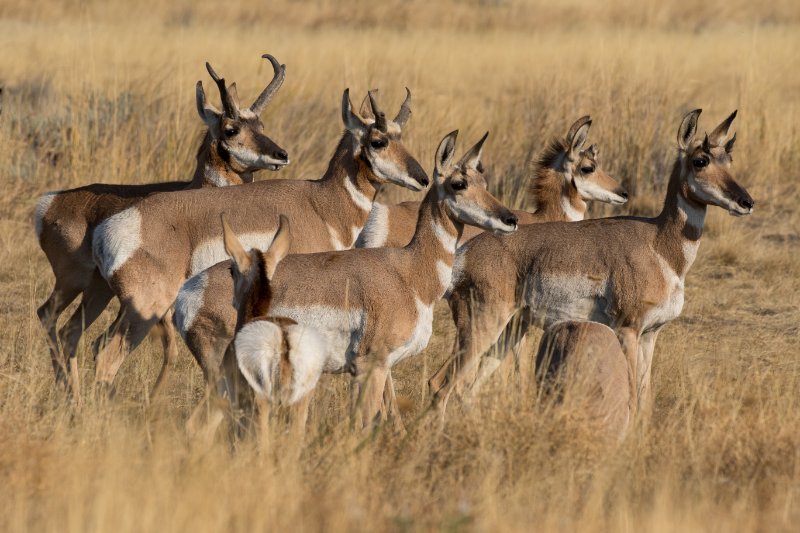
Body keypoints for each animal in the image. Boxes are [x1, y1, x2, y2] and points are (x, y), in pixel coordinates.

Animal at [36, 55, 290, 390]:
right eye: (231, 129)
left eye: (260, 125)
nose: (281, 154)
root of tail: (51, 202)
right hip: (74, 282)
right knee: (49, 317)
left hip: (98, 290)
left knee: (70, 332)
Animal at [92, 89, 432, 392]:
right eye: (378, 140)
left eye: (400, 136)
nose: (423, 178)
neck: (320, 203)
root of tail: (106, 230)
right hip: (145, 309)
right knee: (108, 356)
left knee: (96, 345)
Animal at [428, 109, 752, 420]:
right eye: (700, 160)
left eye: (729, 159)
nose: (746, 202)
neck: (659, 244)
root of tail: (466, 251)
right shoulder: (628, 331)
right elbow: (632, 398)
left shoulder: (650, 335)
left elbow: (645, 399)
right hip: (482, 326)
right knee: (440, 383)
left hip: (508, 331)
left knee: (467, 389)